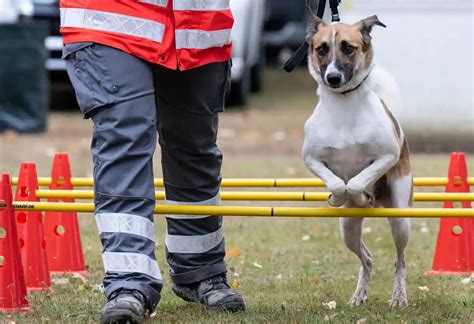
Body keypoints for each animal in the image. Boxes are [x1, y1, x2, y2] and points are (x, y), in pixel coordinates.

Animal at [304, 13, 412, 306]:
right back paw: (359, 294)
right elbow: (337, 183)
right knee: (367, 259)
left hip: (401, 219)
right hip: (348, 228)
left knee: (399, 261)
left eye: (348, 47)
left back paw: (399, 297)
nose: (332, 77)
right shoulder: (311, 158)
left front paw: (363, 194)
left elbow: (356, 181)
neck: (344, 105)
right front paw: (337, 197)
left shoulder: (388, 155)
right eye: (321, 49)